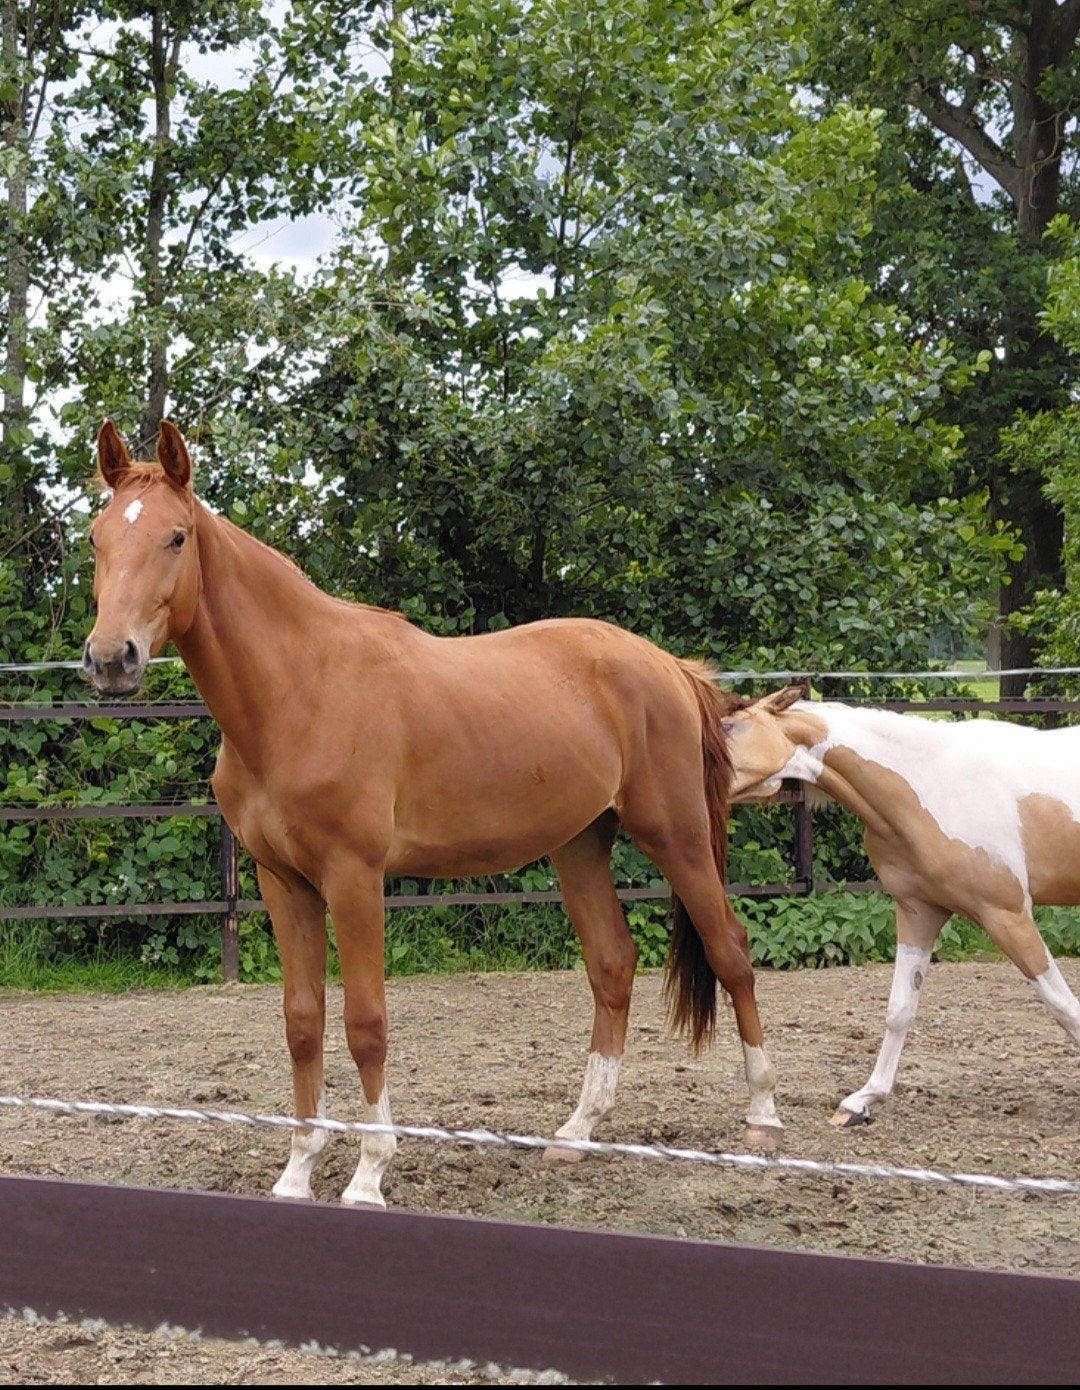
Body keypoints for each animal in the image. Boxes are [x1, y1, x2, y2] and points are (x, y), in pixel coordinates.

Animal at [81, 418, 782, 1206]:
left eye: (175, 537)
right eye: (97, 538)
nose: (110, 658)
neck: (299, 690)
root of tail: (668, 667)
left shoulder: (354, 878)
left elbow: (365, 1023)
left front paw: (368, 1174)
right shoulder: (280, 882)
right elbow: (301, 1022)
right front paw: (297, 1173)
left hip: (676, 834)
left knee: (731, 951)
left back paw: (762, 1118)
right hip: (578, 844)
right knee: (612, 964)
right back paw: (576, 1132)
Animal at [722, 686, 1080, 1125]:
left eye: (730, 726)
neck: (930, 782)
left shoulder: (1007, 914)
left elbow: (1063, 1005)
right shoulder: (918, 911)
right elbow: (900, 1009)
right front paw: (860, 1102)